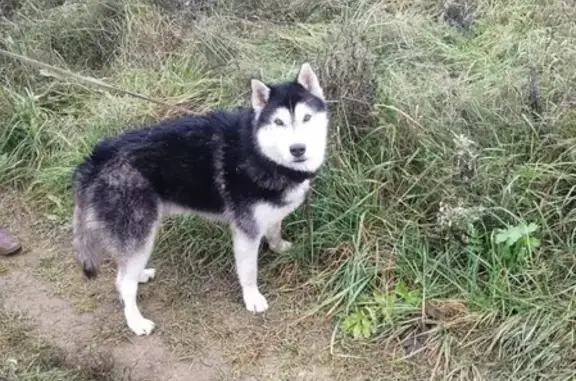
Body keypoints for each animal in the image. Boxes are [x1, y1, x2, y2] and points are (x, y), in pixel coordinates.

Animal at [72, 63, 328, 336]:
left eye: (306, 118)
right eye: (278, 122)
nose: (297, 149)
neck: (260, 153)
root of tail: (95, 159)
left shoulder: (267, 214)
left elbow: (274, 229)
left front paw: (279, 247)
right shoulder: (245, 230)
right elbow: (249, 271)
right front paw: (252, 298)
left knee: (123, 268)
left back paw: (139, 274)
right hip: (139, 229)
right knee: (123, 282)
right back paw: (136, 321)